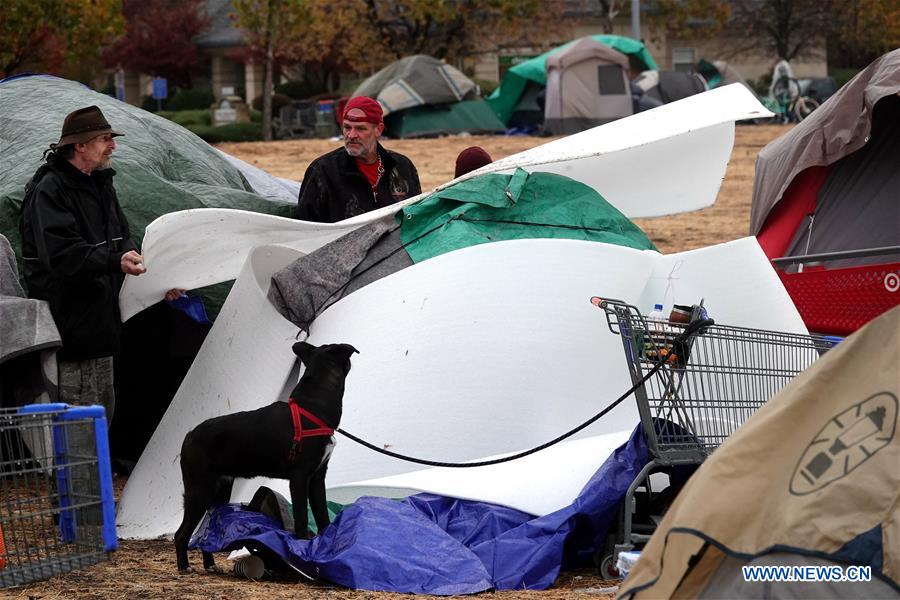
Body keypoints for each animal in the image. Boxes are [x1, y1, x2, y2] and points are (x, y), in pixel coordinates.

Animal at [174, 342, 356, 572]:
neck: (312, 409)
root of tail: (189, 435)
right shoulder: (300, 478)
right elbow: (301, 518)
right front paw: (302, 551)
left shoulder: (317, 478)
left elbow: (322, 515)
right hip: (200, 491)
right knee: (181, 534)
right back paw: (184, 567)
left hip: (219, 491)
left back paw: (210, 565)